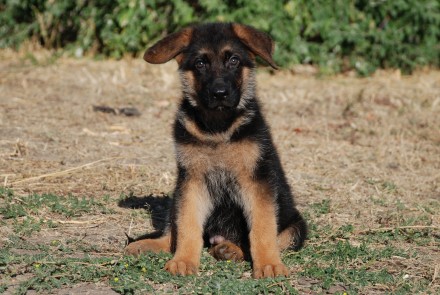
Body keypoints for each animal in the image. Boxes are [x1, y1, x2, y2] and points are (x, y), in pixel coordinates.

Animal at [125, 23, 308, 280]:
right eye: (200, 63)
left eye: (233, 60)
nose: (219, 93)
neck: (217, 128)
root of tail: (219, 237)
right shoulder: (191, 181)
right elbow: (187, 226)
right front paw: (184, 260)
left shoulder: (257, 182)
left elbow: (262, 229)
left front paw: (269, 264)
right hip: (177, 193)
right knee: (172, 233)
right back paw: (148, 245)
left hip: (296, 227)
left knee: (264, 239)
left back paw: (230, 249)